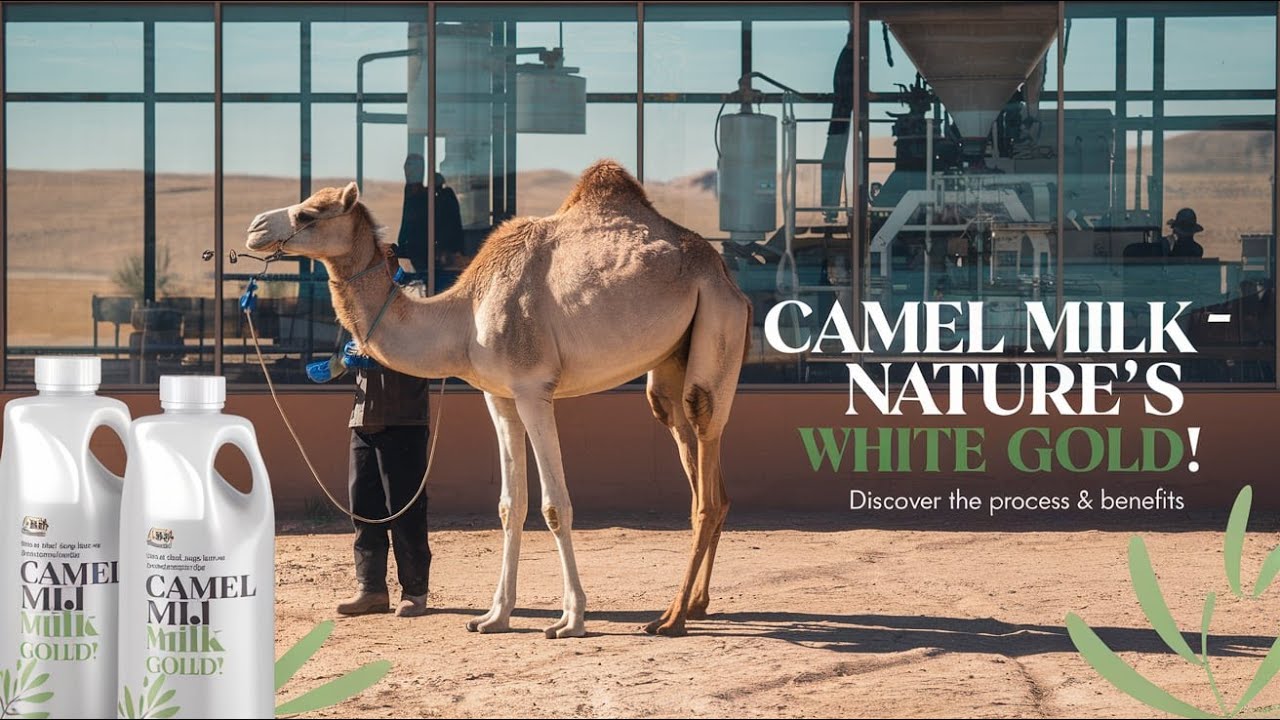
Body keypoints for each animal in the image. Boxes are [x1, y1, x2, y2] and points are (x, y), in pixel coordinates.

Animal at [245, 160, 751, 638]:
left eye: (309, 212)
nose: (255, 227)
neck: (463, 317)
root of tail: (726, 276)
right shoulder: (499, 396)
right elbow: (511, 505)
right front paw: (494, 616)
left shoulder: (533, 389)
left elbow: (554, 506)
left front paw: (570, 620)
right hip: (669, 367)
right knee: (701, 470)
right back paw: (694, 606)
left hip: (717, 328)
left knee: (705, 471)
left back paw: (672, 619)